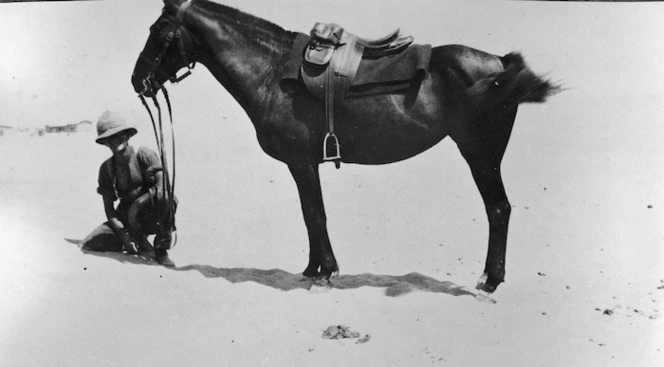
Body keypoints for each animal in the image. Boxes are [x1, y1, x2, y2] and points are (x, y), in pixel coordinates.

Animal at [131, 0, 560, 294]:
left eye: (158, 31)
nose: (138, 81)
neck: (270, 71)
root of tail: (500, 63)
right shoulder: (305, 164)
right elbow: (312, 216)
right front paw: (314, 269)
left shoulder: (302, 163)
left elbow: (314, 215)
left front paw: (323, 271)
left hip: (480, 153)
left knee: (498, 209)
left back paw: (491, 281)